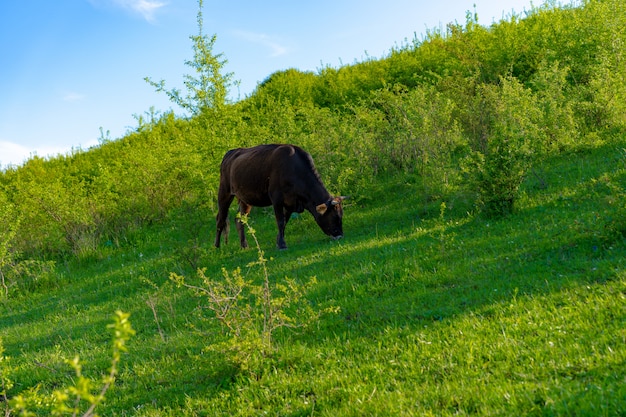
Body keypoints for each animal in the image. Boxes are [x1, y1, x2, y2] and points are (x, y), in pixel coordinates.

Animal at [212, 144, 344, 247]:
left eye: (341, 215)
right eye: (334, 216)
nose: (340, 235)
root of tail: (231, 152)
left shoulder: (291, 203)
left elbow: (285, 221)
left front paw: (278, 240)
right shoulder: (276, 199)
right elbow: (280, 221)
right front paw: (282, 244)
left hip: (245, 199)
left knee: (240, 220)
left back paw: (244, 245)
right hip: (224, 192)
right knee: (220, 218)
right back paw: (217, 246)